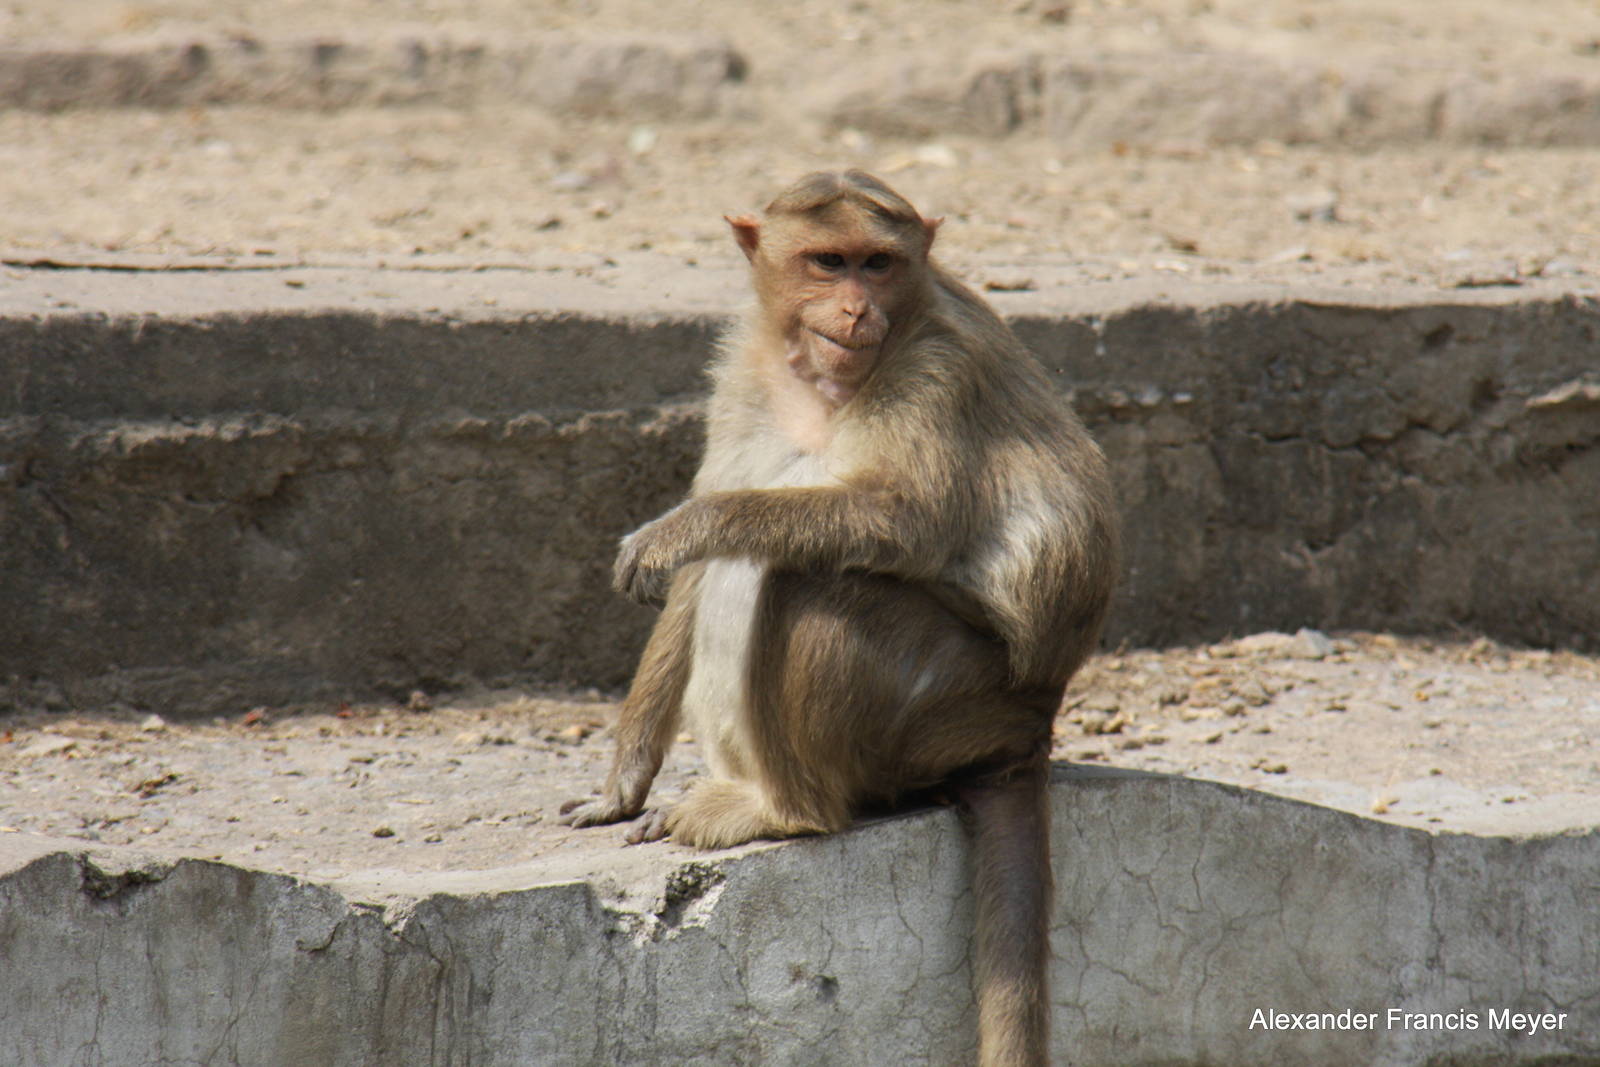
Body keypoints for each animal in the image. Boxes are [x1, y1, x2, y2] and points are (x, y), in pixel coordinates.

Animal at [559, 170, 1118, 1067]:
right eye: (829, 261)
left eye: (877, 263)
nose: (857, 309)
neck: (821, 383)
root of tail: (1029, 726)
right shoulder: (741, 375)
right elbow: (704, 554)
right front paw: (620, 785)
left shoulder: (937, 367)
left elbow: (897, 520)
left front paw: (681, 527)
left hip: (952, 706)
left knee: (811, 582)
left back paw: (788, 810)